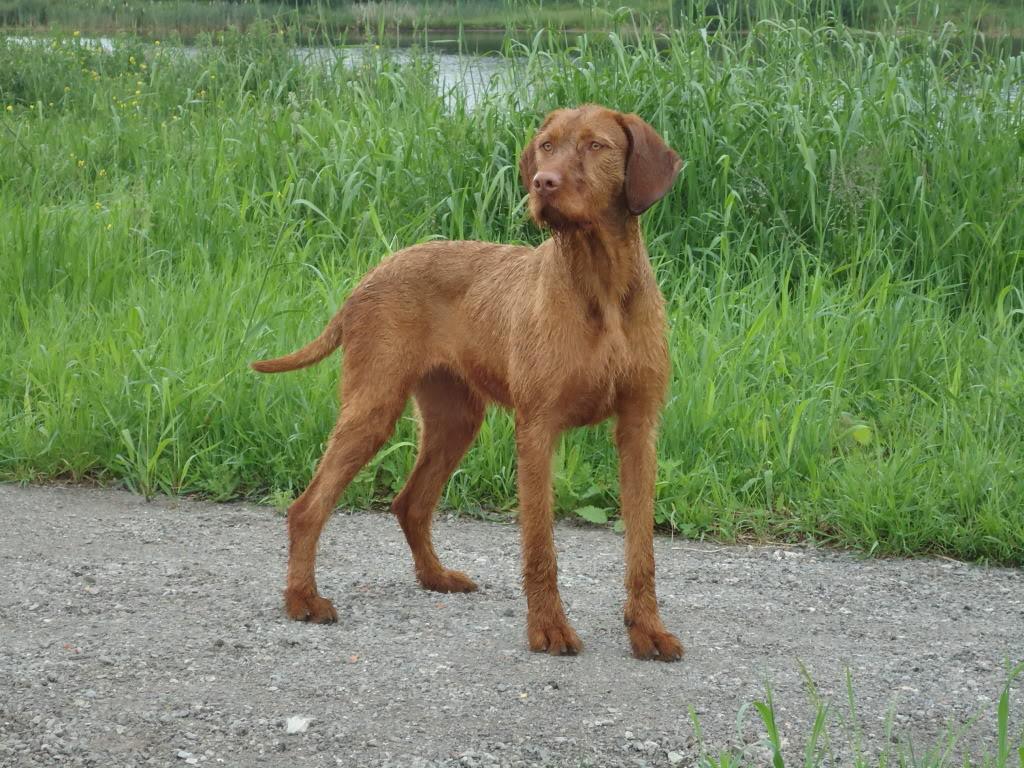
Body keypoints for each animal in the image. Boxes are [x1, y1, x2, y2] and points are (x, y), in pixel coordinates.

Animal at [254, 103, 684, 663]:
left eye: (596, 145)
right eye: (546, 145)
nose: (543, 183)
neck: (601, 284)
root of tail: (370, 276)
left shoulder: (638, 428)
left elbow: (642, 549)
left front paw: (647, 629)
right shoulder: (537, 428)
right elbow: (540, 546)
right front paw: (548, 628)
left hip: (456, 419)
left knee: (410, 502)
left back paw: (435, 577)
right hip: (374, 407)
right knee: (307, 508)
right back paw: (302, 599)